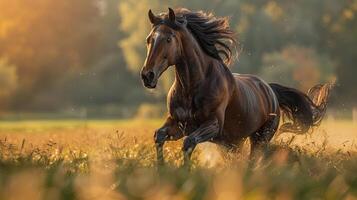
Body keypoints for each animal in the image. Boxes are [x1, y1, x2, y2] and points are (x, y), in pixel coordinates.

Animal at [140, 7, 330, 165]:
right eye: (149, 39)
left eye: (168, 39)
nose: (147, 76)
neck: (192, 88)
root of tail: (270, 90)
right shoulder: (179, 124)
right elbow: (159, 136)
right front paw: (161, 169)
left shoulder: (212, 125)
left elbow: (188, 142)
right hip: (233, 143)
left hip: (260, 138)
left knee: (254, 160)